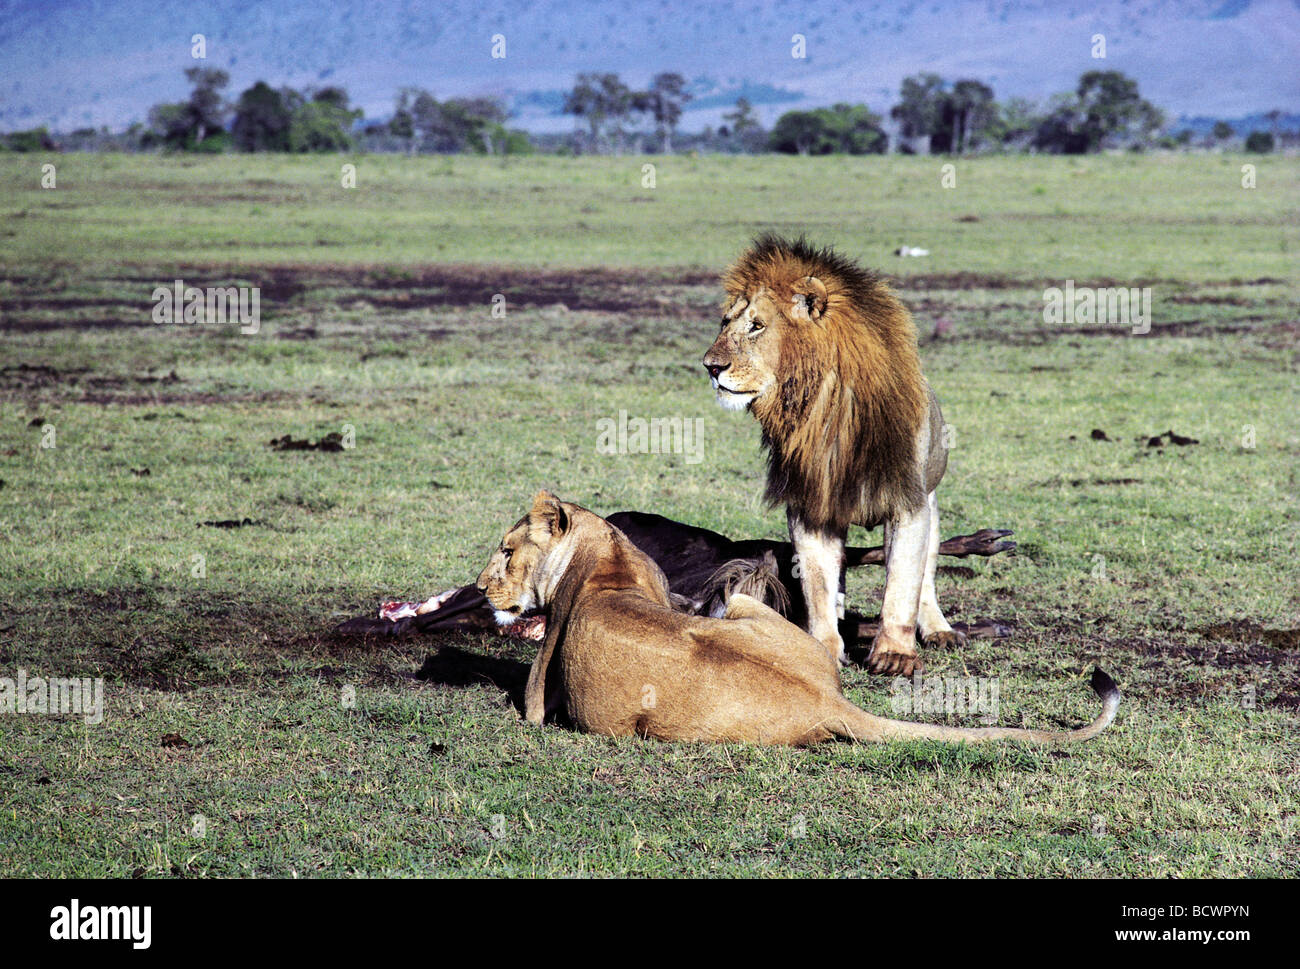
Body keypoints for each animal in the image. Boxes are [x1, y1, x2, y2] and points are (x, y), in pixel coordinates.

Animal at [478, 491, 1118, 749]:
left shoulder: (539, 699)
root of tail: (826, 701)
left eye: (507, 550)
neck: (605, 555)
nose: (481, 587)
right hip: (747, 598)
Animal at [707, 234, 961, 671]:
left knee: (926, 576)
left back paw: (938, 629)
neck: (825, 409)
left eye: (756, 326)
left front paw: (894, 654)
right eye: (726, 323)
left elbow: (902, 584)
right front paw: (822, 646)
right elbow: (818, 584)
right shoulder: (811, 505)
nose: (709, 366)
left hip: (931, 500)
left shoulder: (908, 503)